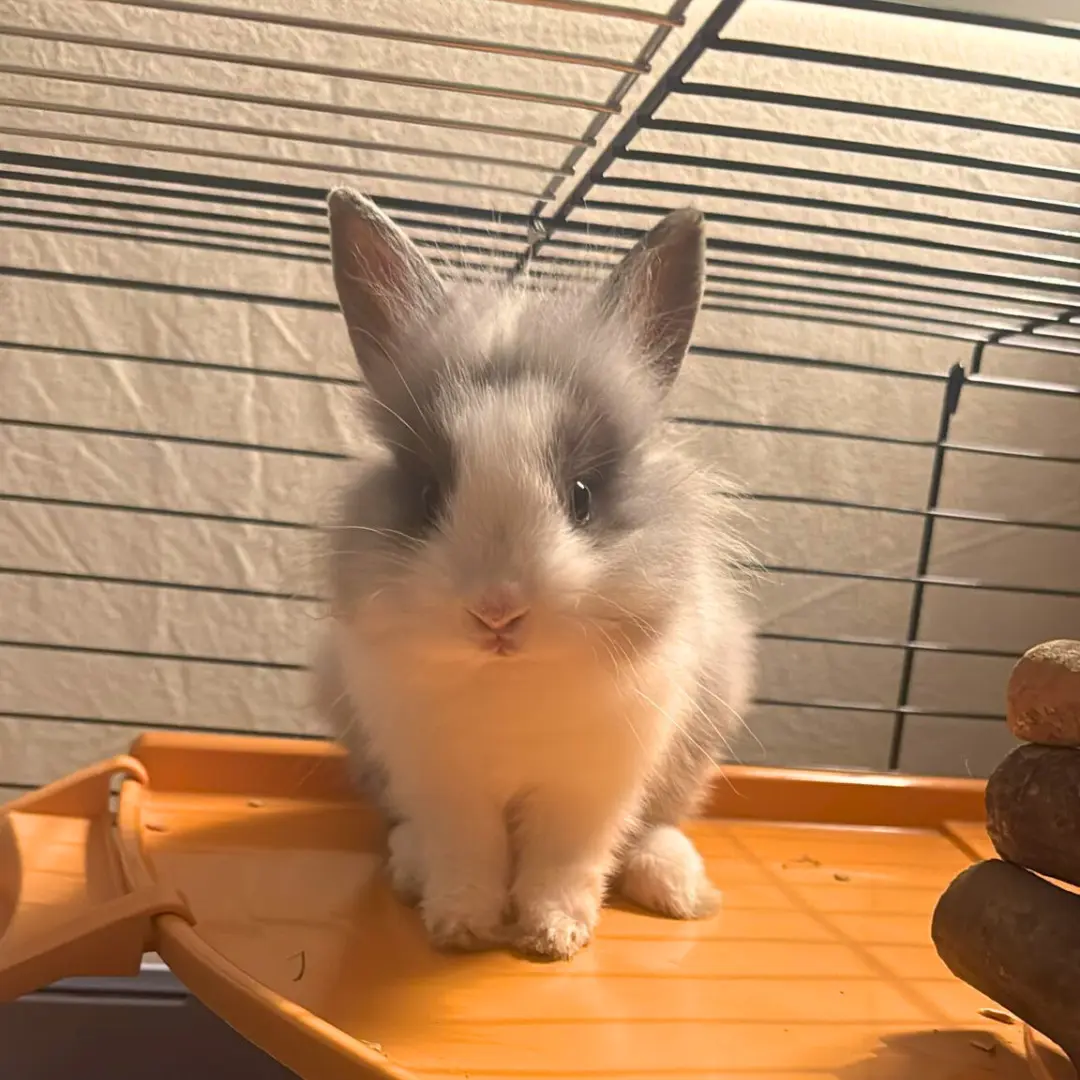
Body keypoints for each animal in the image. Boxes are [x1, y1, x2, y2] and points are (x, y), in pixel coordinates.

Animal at [319, 188, 755, 961]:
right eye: (428, 495)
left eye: (580, 496)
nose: (497, 611)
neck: (509, 678)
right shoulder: (443, 782)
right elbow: (468, 854)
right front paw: (461, 927)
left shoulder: (591, 787)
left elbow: (565, 861)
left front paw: (555, 936)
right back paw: (411, 868)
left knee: (656, 826)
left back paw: (677, 888)